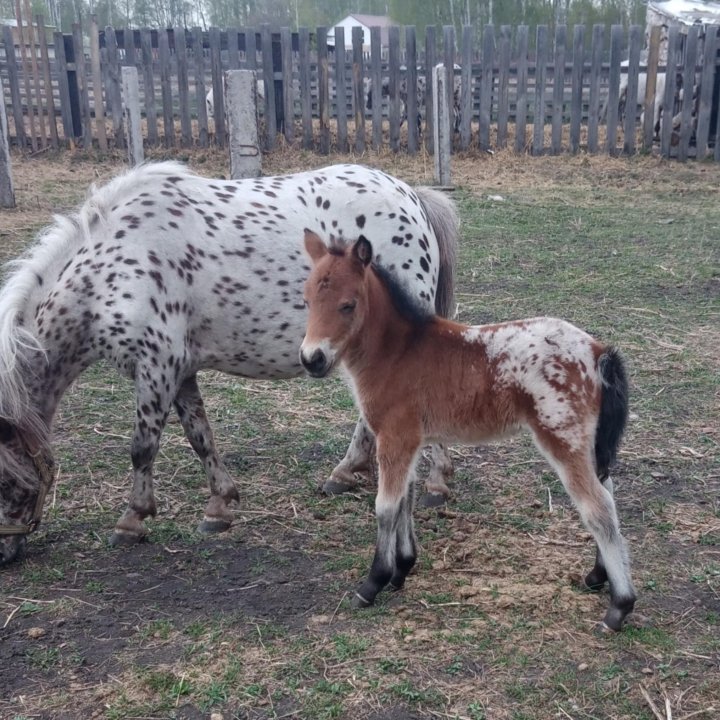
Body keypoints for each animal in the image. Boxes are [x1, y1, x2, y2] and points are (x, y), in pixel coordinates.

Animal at [0, 160, 462, 564]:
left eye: (4, 480)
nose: (6, 555)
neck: (114, 264)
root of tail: (411, 197)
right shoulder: (180, 370)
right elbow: (199, 436)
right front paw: (219, 505)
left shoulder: (157, 365)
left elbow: (142, 447)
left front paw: (132, 519)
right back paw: (346, 472)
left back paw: (435, 482)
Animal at [300, 232, 640, 632]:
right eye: (306, 300)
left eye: (348, 305)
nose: (312, 359)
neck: (398, 352)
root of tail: (598, 351)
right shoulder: (410, 440)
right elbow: (406, 500)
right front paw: (402, 569)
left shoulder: (395, 437)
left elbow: (385, 507)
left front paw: (373, 583)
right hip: (588, 443)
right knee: (608, 493)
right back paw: (597, 576)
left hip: (562, 439)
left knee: (598, 508)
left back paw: (619, 607)